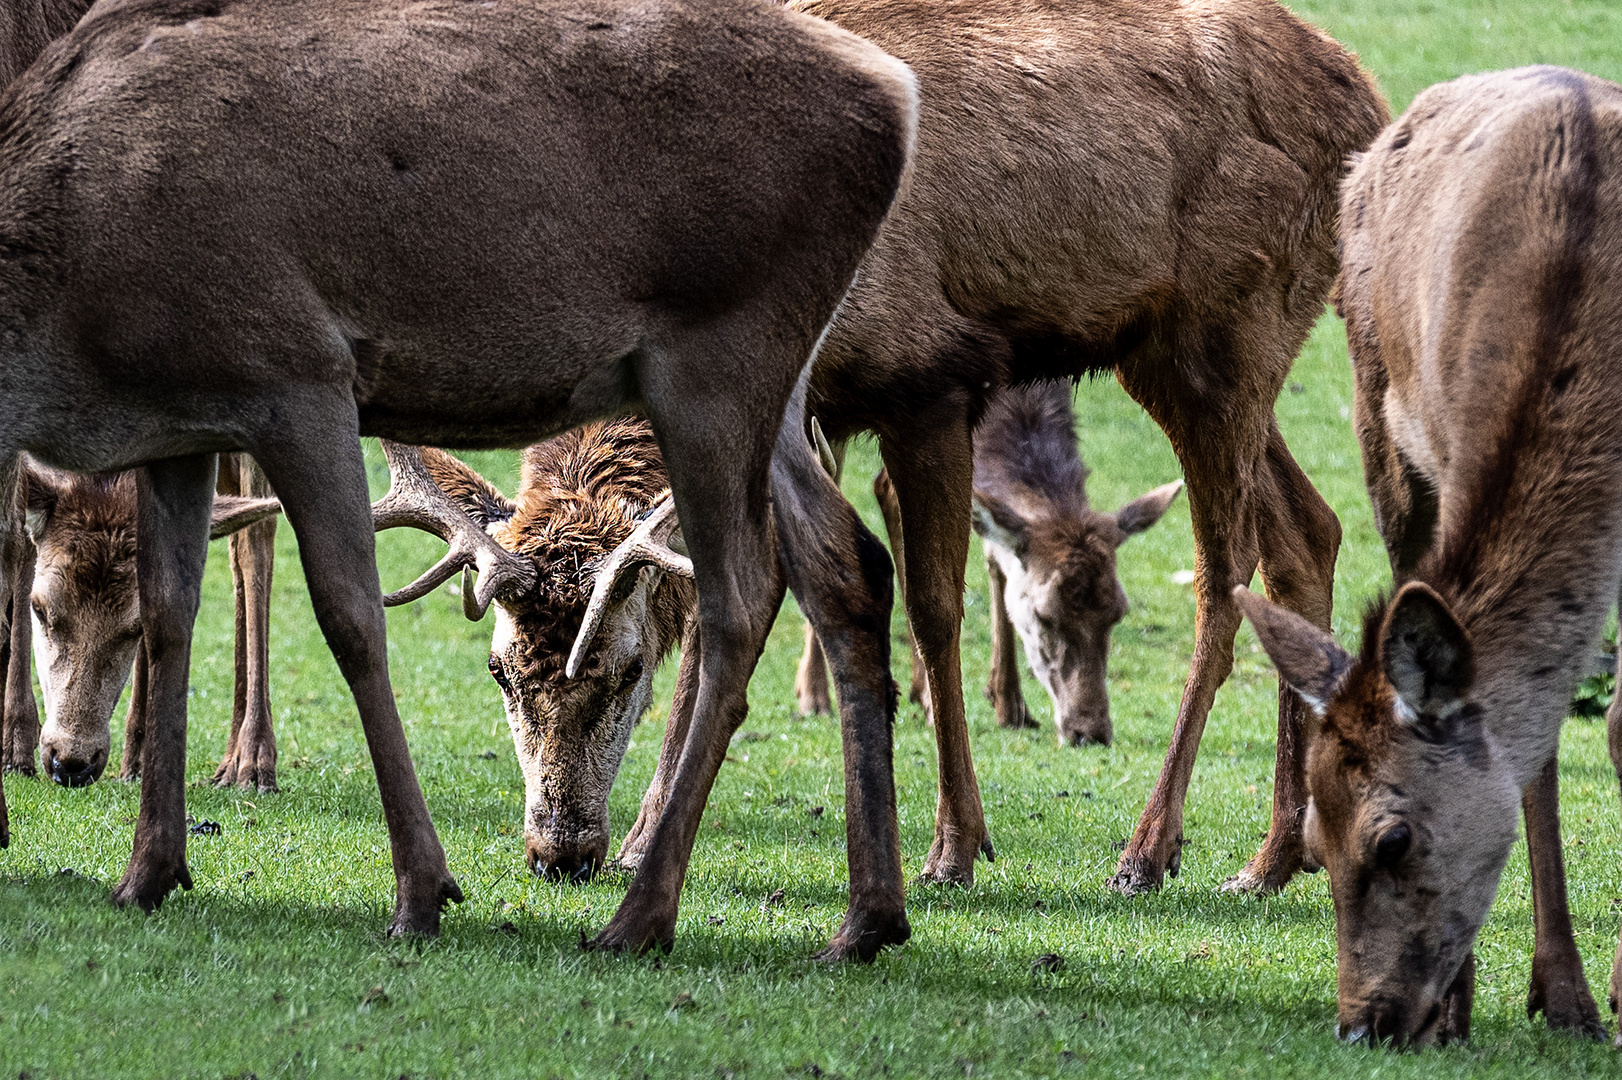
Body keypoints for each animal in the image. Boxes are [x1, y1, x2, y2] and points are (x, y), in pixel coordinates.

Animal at [21, 454, 278, 781]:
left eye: (136, 627)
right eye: (38, 608)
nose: (71, 762)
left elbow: (255, 544)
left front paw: (255, 759)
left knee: (250, 541)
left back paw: (243, 760)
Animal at [788, 382, 1180, 745]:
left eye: (1118, 612)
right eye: (1044, 615)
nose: (1090, 731)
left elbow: (994, 549)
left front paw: (1009, 705)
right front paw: (936, 700)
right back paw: (815, 694)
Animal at [1232, 67, 1622, 1044]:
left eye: (1393, 838)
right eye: (1317, 844)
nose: (1362, 1021)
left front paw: (1595, 996)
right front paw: (1544, 997)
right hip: (1381, 423)